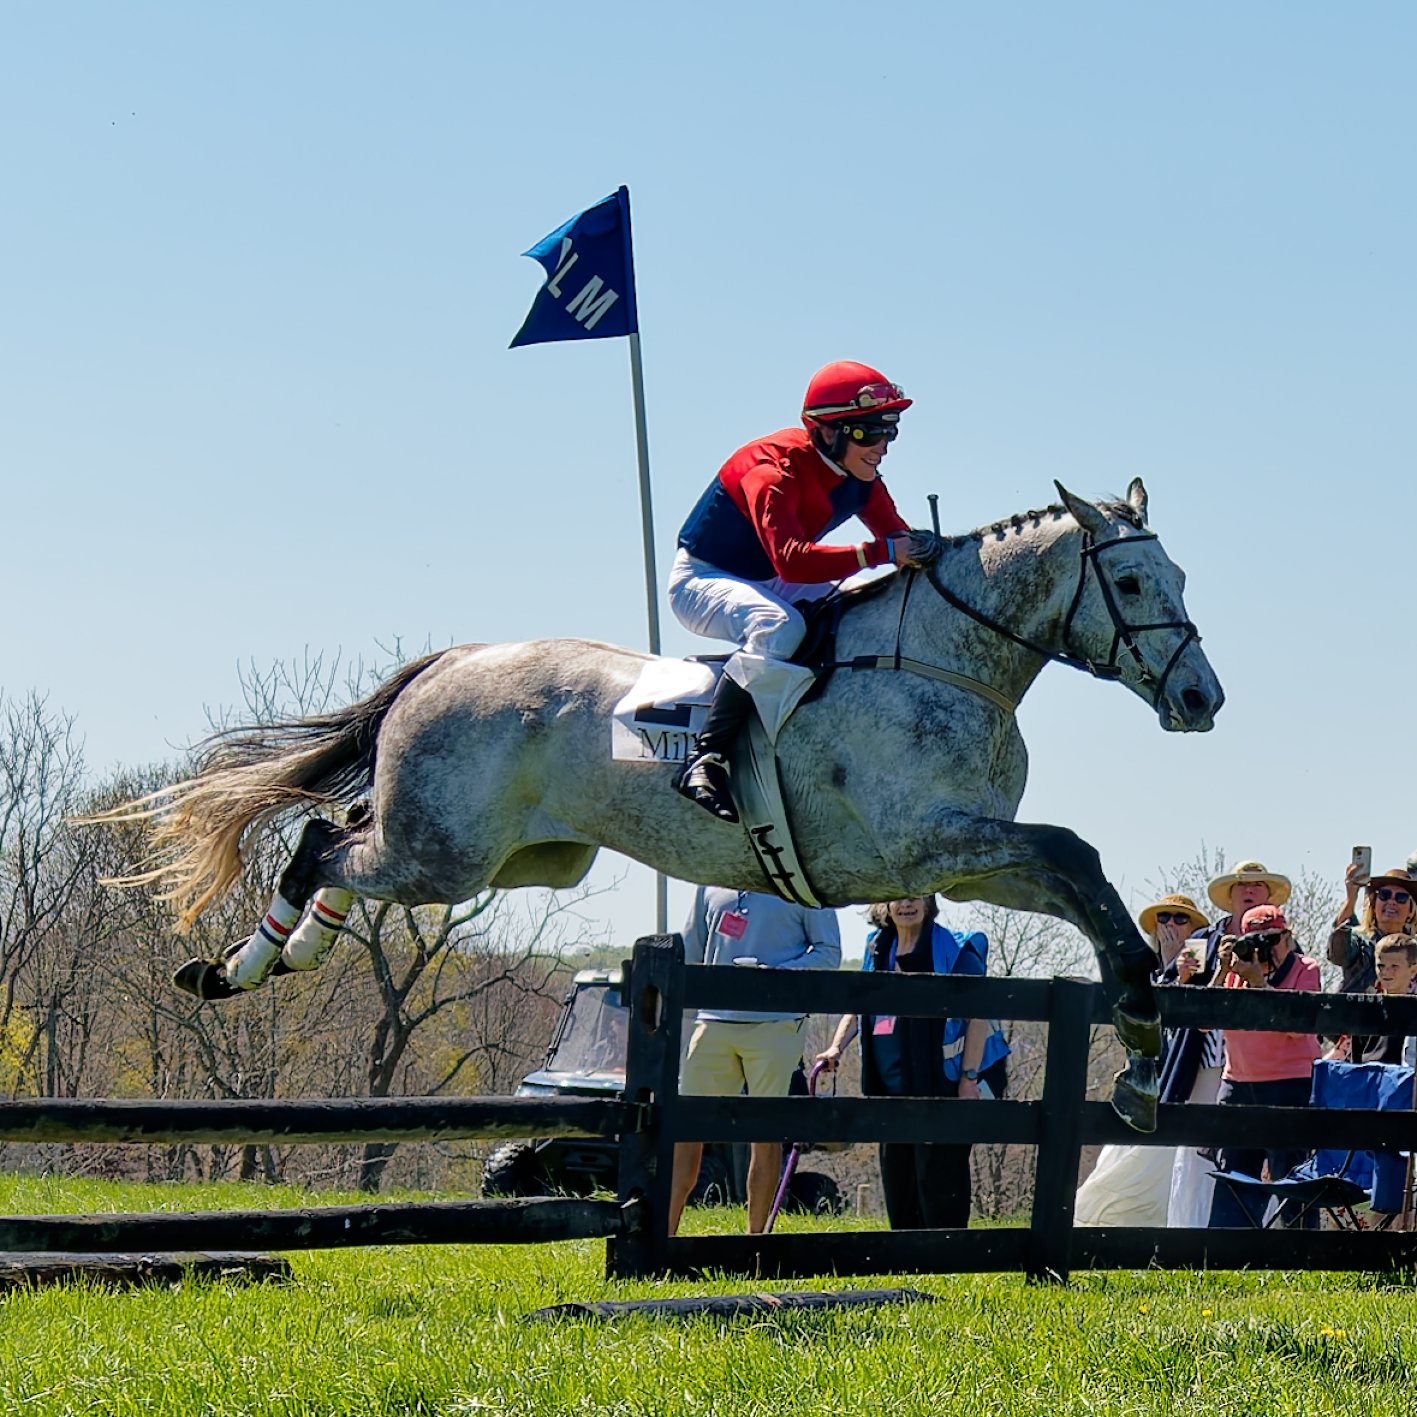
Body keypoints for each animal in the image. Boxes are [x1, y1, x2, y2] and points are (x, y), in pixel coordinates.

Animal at [95, 480, 1223, 1132]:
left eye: (1177, 571)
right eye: (1130, 581)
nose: (1200, 698)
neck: (947, 661)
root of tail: (453, 660)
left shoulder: (967, 860)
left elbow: (1080, 876)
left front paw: (1137, 1037)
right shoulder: (922, 846)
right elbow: (1074, 851)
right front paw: (1139, 1026)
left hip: (512, 857)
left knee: (341, 845)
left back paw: (280, 954)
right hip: (442, 851)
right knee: (323, 841)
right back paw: (243, 966)